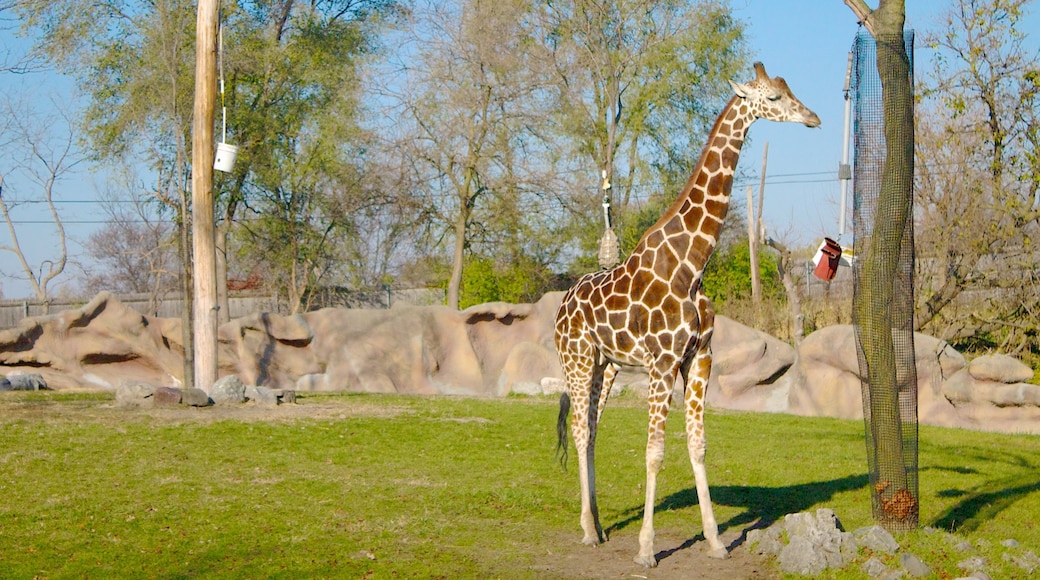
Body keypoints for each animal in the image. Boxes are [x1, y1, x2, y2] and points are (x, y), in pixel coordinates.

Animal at [557, 62, 815, 569]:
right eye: (773, 98)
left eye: (789, 90)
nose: (812, 118)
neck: (692, 265)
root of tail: (560, 306)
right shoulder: (662, 362)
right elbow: (654, 452)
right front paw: (646, 550)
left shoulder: (699, 359)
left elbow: (697, 445)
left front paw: (715, 541)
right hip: (576, 360)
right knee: (578, 429)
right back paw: (587, 531)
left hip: (606, 366)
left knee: (592, 429)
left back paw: (598, 525)